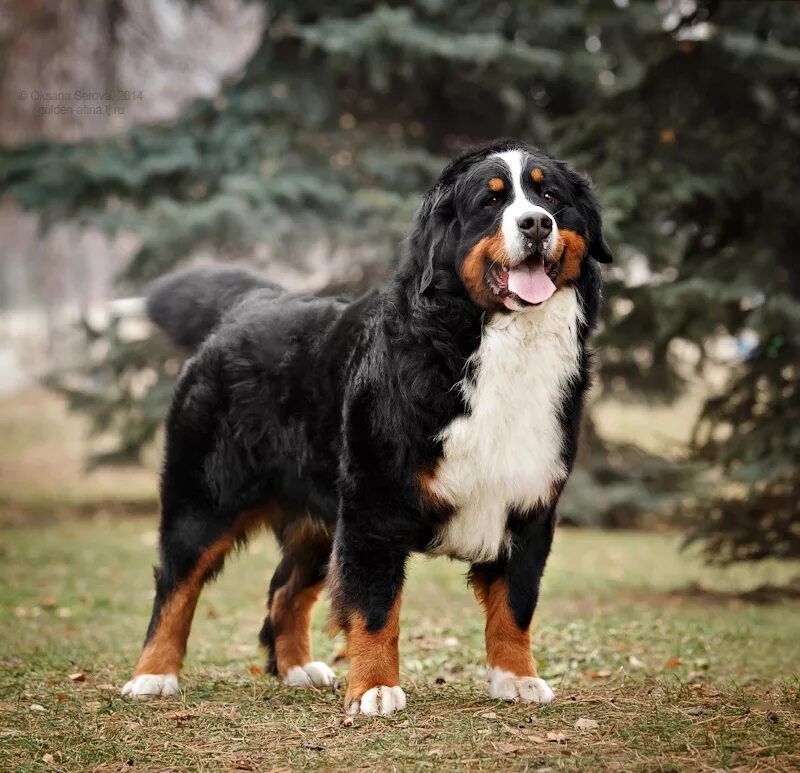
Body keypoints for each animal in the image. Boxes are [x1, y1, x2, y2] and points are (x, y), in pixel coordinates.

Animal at [122, 137, 612, 712]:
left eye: (549, 195)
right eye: (491, 202)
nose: (535, 223)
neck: (489, 340)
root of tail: (251, 304)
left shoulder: (529, 504)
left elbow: (515, 602)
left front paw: (515, 677)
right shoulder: (373, 506)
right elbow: (376, 606)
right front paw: (376, 687)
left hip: (319, 517)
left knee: (285, 591)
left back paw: (297, 668)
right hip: (204, 499)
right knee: (176, 585)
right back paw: (153, 675)